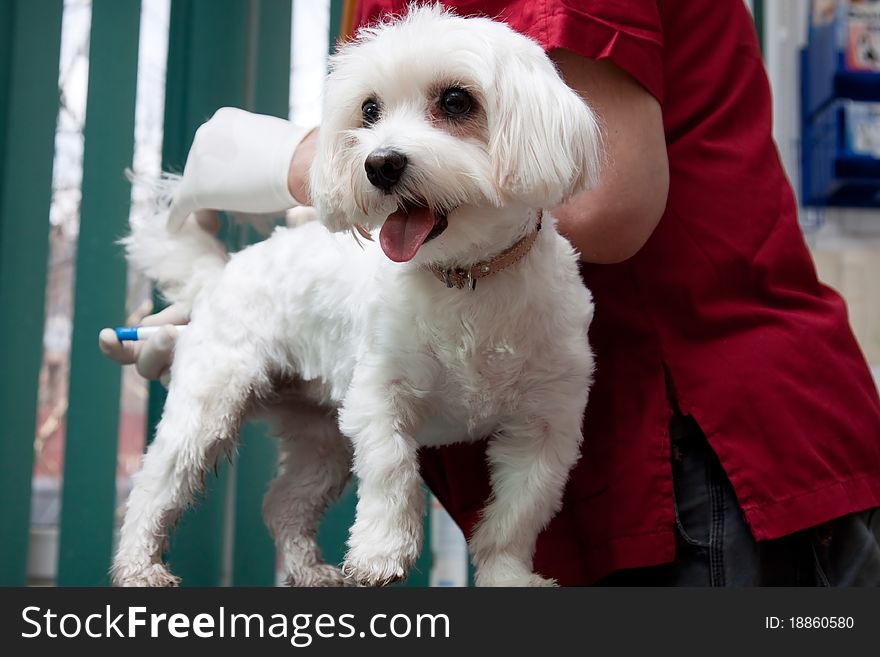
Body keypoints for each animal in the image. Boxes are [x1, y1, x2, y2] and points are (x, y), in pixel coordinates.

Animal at [111, 3, 600, 588]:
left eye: (456, 101)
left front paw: (507, 575)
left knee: (284, 503)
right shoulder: (376, 395)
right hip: (210, 403)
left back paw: (309, 570)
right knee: (154, 485)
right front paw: (380, 553)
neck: (465, 279)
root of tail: (222, 271)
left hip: (320, 435)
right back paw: (139, 567)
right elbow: (391, 471)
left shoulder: (547, 426)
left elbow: (517, 514)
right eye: (369, 110)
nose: (380, 163)